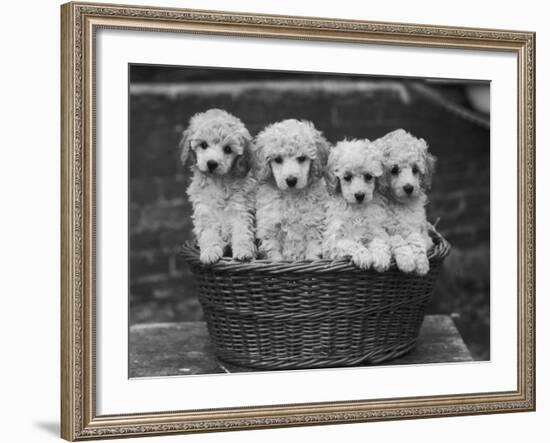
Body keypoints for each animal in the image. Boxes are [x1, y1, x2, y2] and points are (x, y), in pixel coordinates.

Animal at [181, 109, 258, 266]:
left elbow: (242, 231)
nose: (211, 163)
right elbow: (208, 233)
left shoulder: (241, 209)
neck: (218, 181)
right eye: (204, 145)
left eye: (228, 149)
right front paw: (210, 252)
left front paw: (244, 252)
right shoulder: (205, 210)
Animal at [256, 119, 330, 262]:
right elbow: (274, 252)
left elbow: (313, 249)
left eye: (301, 158)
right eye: (278, 159)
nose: (291, 180)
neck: (292, 195)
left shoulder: (314, 223)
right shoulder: (270, 226)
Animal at [324, 140, 392, 270]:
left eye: (368, 176)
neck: (357, 209)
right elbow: (351, 243)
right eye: (347, 177)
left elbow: (379, 241)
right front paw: (364, 256)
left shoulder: (376, 229)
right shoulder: (334, 241)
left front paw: (381, 257)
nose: (360, 195)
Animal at [378, 127, 438, 274]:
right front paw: (406, 261)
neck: (399, 204)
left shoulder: (420, 231)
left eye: (415, 169)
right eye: (394, 169)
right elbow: (396, 238)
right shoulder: (382, 230)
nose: (409, 188)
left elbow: (415, 239)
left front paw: (422, 264)